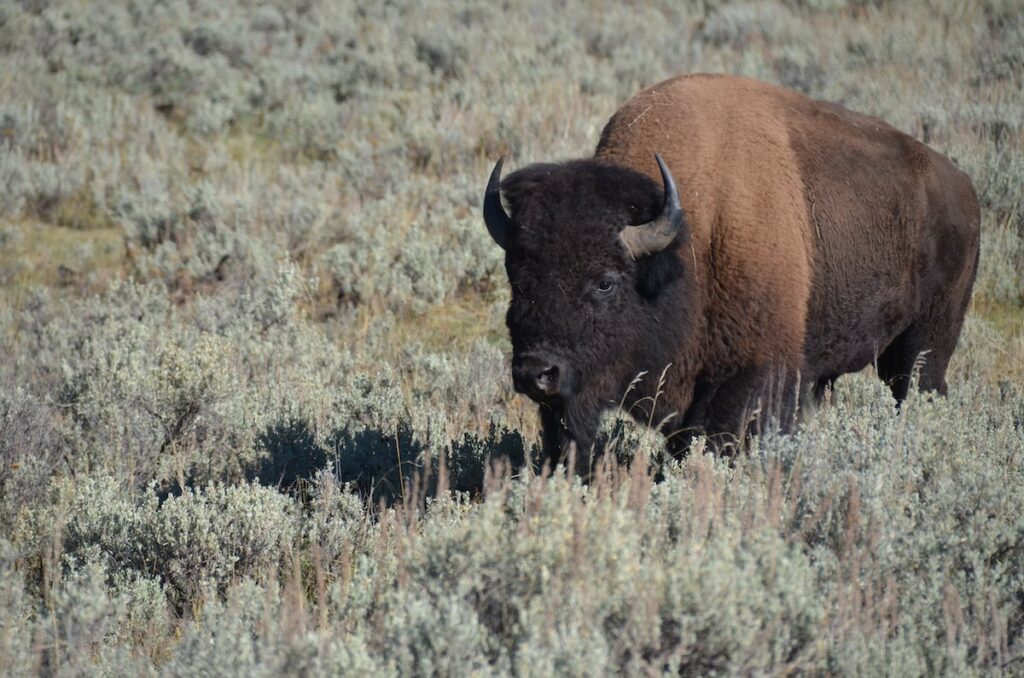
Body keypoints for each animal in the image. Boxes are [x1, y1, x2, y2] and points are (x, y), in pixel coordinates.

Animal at [483, 74, 978, 467]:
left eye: (606, 282)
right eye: (517, 280)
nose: (535, 372)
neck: (688, 241)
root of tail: (963, 187)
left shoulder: (751, 378)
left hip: (925, 345)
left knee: (918, 387)